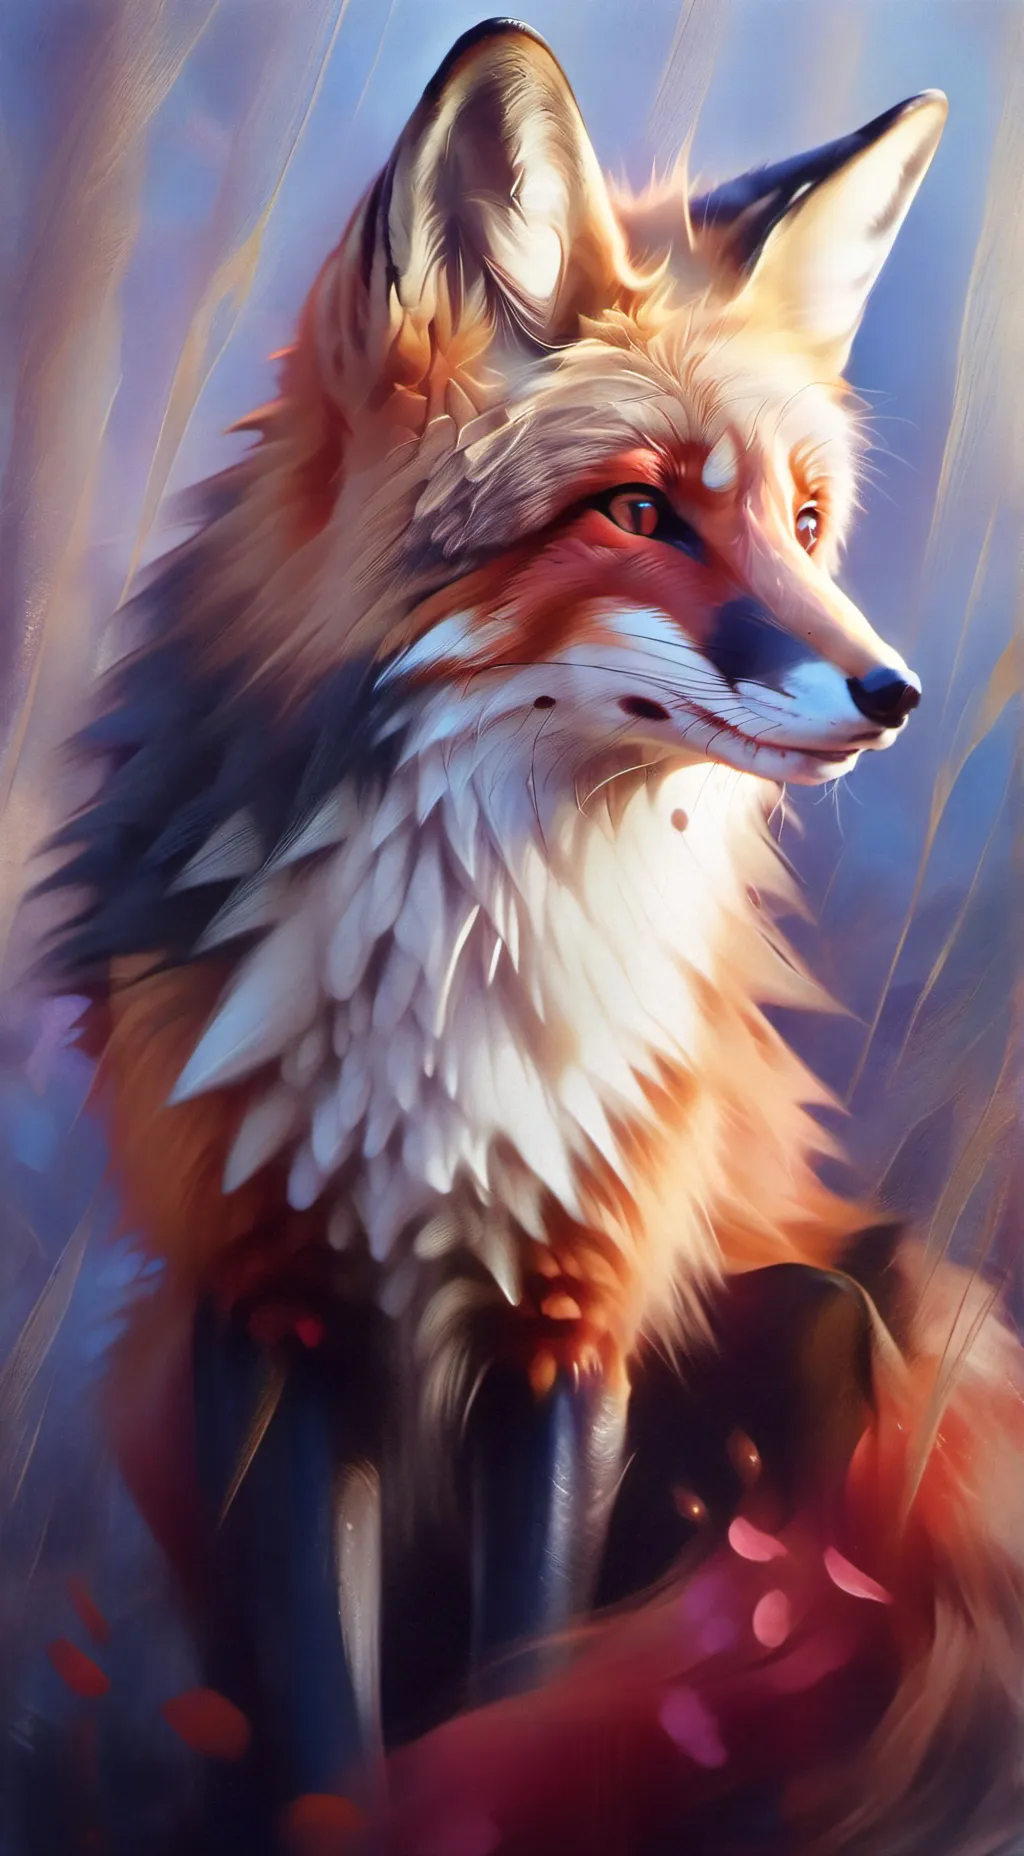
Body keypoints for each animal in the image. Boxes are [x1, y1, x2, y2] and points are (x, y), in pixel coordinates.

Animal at [33, 17, 1024, 1854]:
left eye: (802, 521)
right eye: (637, 513)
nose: (894, 695)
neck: (448, 982)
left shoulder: (571, 1332)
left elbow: (524, 1683)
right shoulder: (263, 1319)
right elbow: (322, 1730)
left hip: (863, 1308)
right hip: (147, 1383)